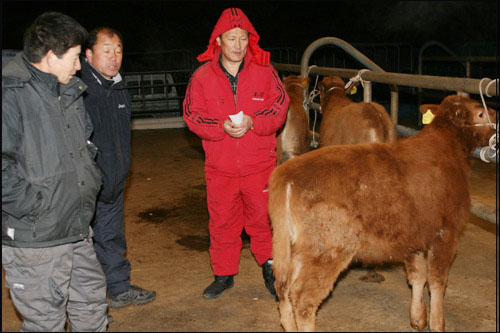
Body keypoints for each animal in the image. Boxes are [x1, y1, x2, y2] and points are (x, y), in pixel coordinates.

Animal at [270, 94, 496, 330]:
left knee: (283, 287)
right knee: (303, 297)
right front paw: (437, 324)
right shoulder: (446, 233)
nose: (496, 115)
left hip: (295, 249)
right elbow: (437, 281)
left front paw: (418, 318)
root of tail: (287, 176)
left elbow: (418, 275)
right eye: (481, 113)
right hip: (327, 250)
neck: (449, 148)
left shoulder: (413, 235)